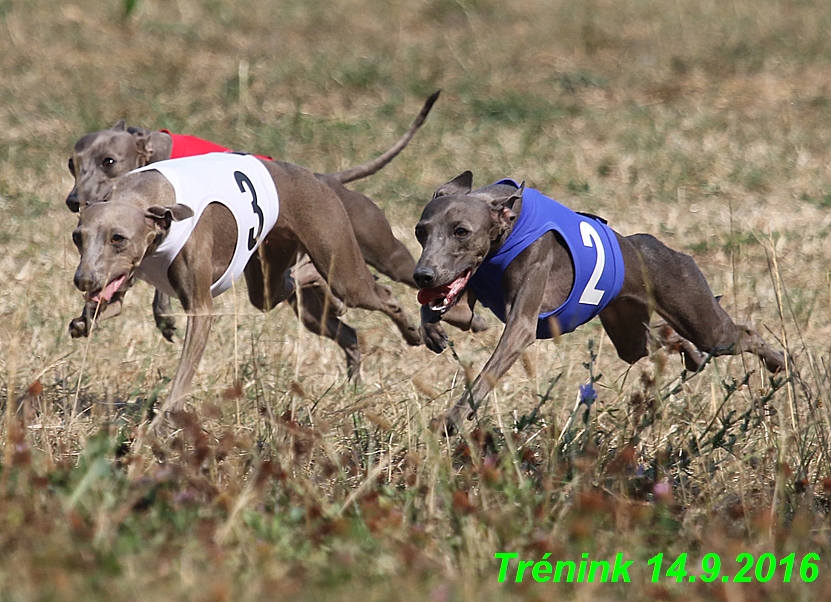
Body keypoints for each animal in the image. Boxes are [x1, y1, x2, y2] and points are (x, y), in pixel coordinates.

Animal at [72, 151, 422, 422]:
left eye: (118, 238)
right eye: (78, 237)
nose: (83, 280)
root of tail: (315, 176)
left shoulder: (200, 308)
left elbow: (185, 367)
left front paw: (166, 415)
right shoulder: (122, 277)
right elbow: (108, 307)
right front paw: (83, 320)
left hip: (342, 265)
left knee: (380, 293)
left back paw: (411, 330)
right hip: (270, 274)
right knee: (297, 286)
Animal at [414, 172, 788, 432]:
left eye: (461, 231)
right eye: (421, 230)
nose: (423, 275)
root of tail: (656, 247)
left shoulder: (521, 323)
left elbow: (486, 373)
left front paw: (451, 419)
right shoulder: (464, 294)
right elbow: (453, 313)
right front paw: (432, 329)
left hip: (704, 322)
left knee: (742, 334)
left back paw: (778, 363)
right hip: (628, 333)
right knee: (660, 339)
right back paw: (689, 354)